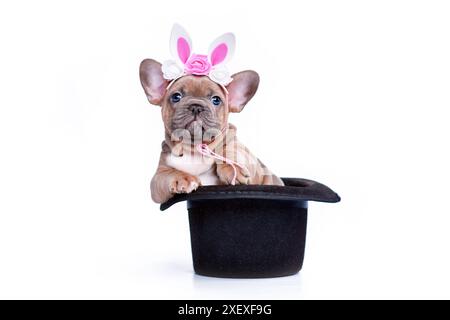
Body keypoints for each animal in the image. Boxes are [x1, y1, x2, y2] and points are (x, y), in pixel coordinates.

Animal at [139, 59, 284, 204]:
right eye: (176, 97)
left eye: (216, 100)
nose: (196, 106)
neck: (194, 150)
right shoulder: (158, 177)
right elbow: (167, 174)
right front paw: (182, 178)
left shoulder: (248, 158)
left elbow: (232, 151)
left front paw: (233, 168)